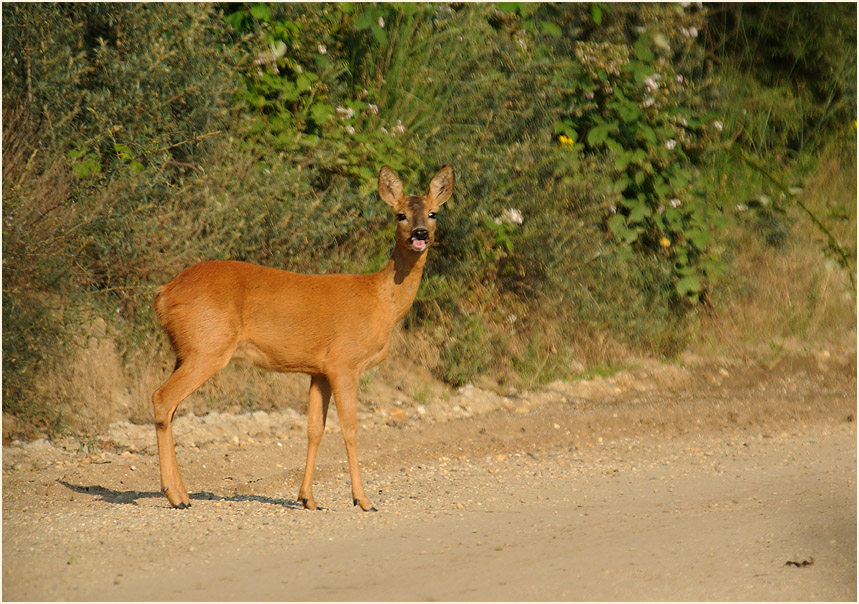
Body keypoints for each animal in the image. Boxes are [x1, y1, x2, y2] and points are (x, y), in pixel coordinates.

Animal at [150, 166, 454, 516]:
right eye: (400, 214)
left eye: (433, 213)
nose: (420, 234)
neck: (380, 300)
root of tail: (164, 293)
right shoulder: (344, 362)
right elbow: (350, 427)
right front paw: (363, 500)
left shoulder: (319, 370)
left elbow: (314, 429)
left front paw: (308, 498)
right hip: (207, 348)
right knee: (162, 398)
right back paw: (175, 495)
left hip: (185, 351)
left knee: (170, 409)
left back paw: (183, 494)